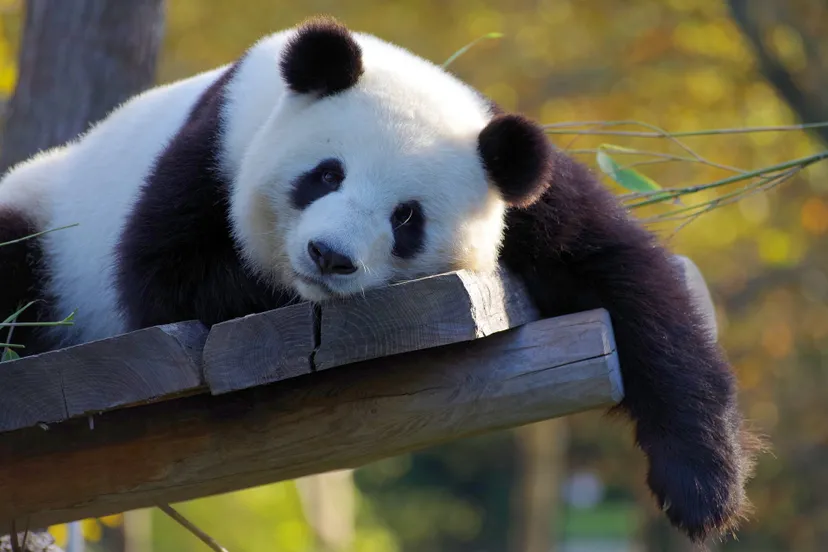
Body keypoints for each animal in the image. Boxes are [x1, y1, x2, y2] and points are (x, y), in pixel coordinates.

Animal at [0, 16, 759, 544]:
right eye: (325, 173)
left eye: (407, 218)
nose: (329, 256)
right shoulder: (212, 147)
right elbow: (167, 277)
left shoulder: (521, 186)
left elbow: (628, 277)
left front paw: (705, 490)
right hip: (46, 220)